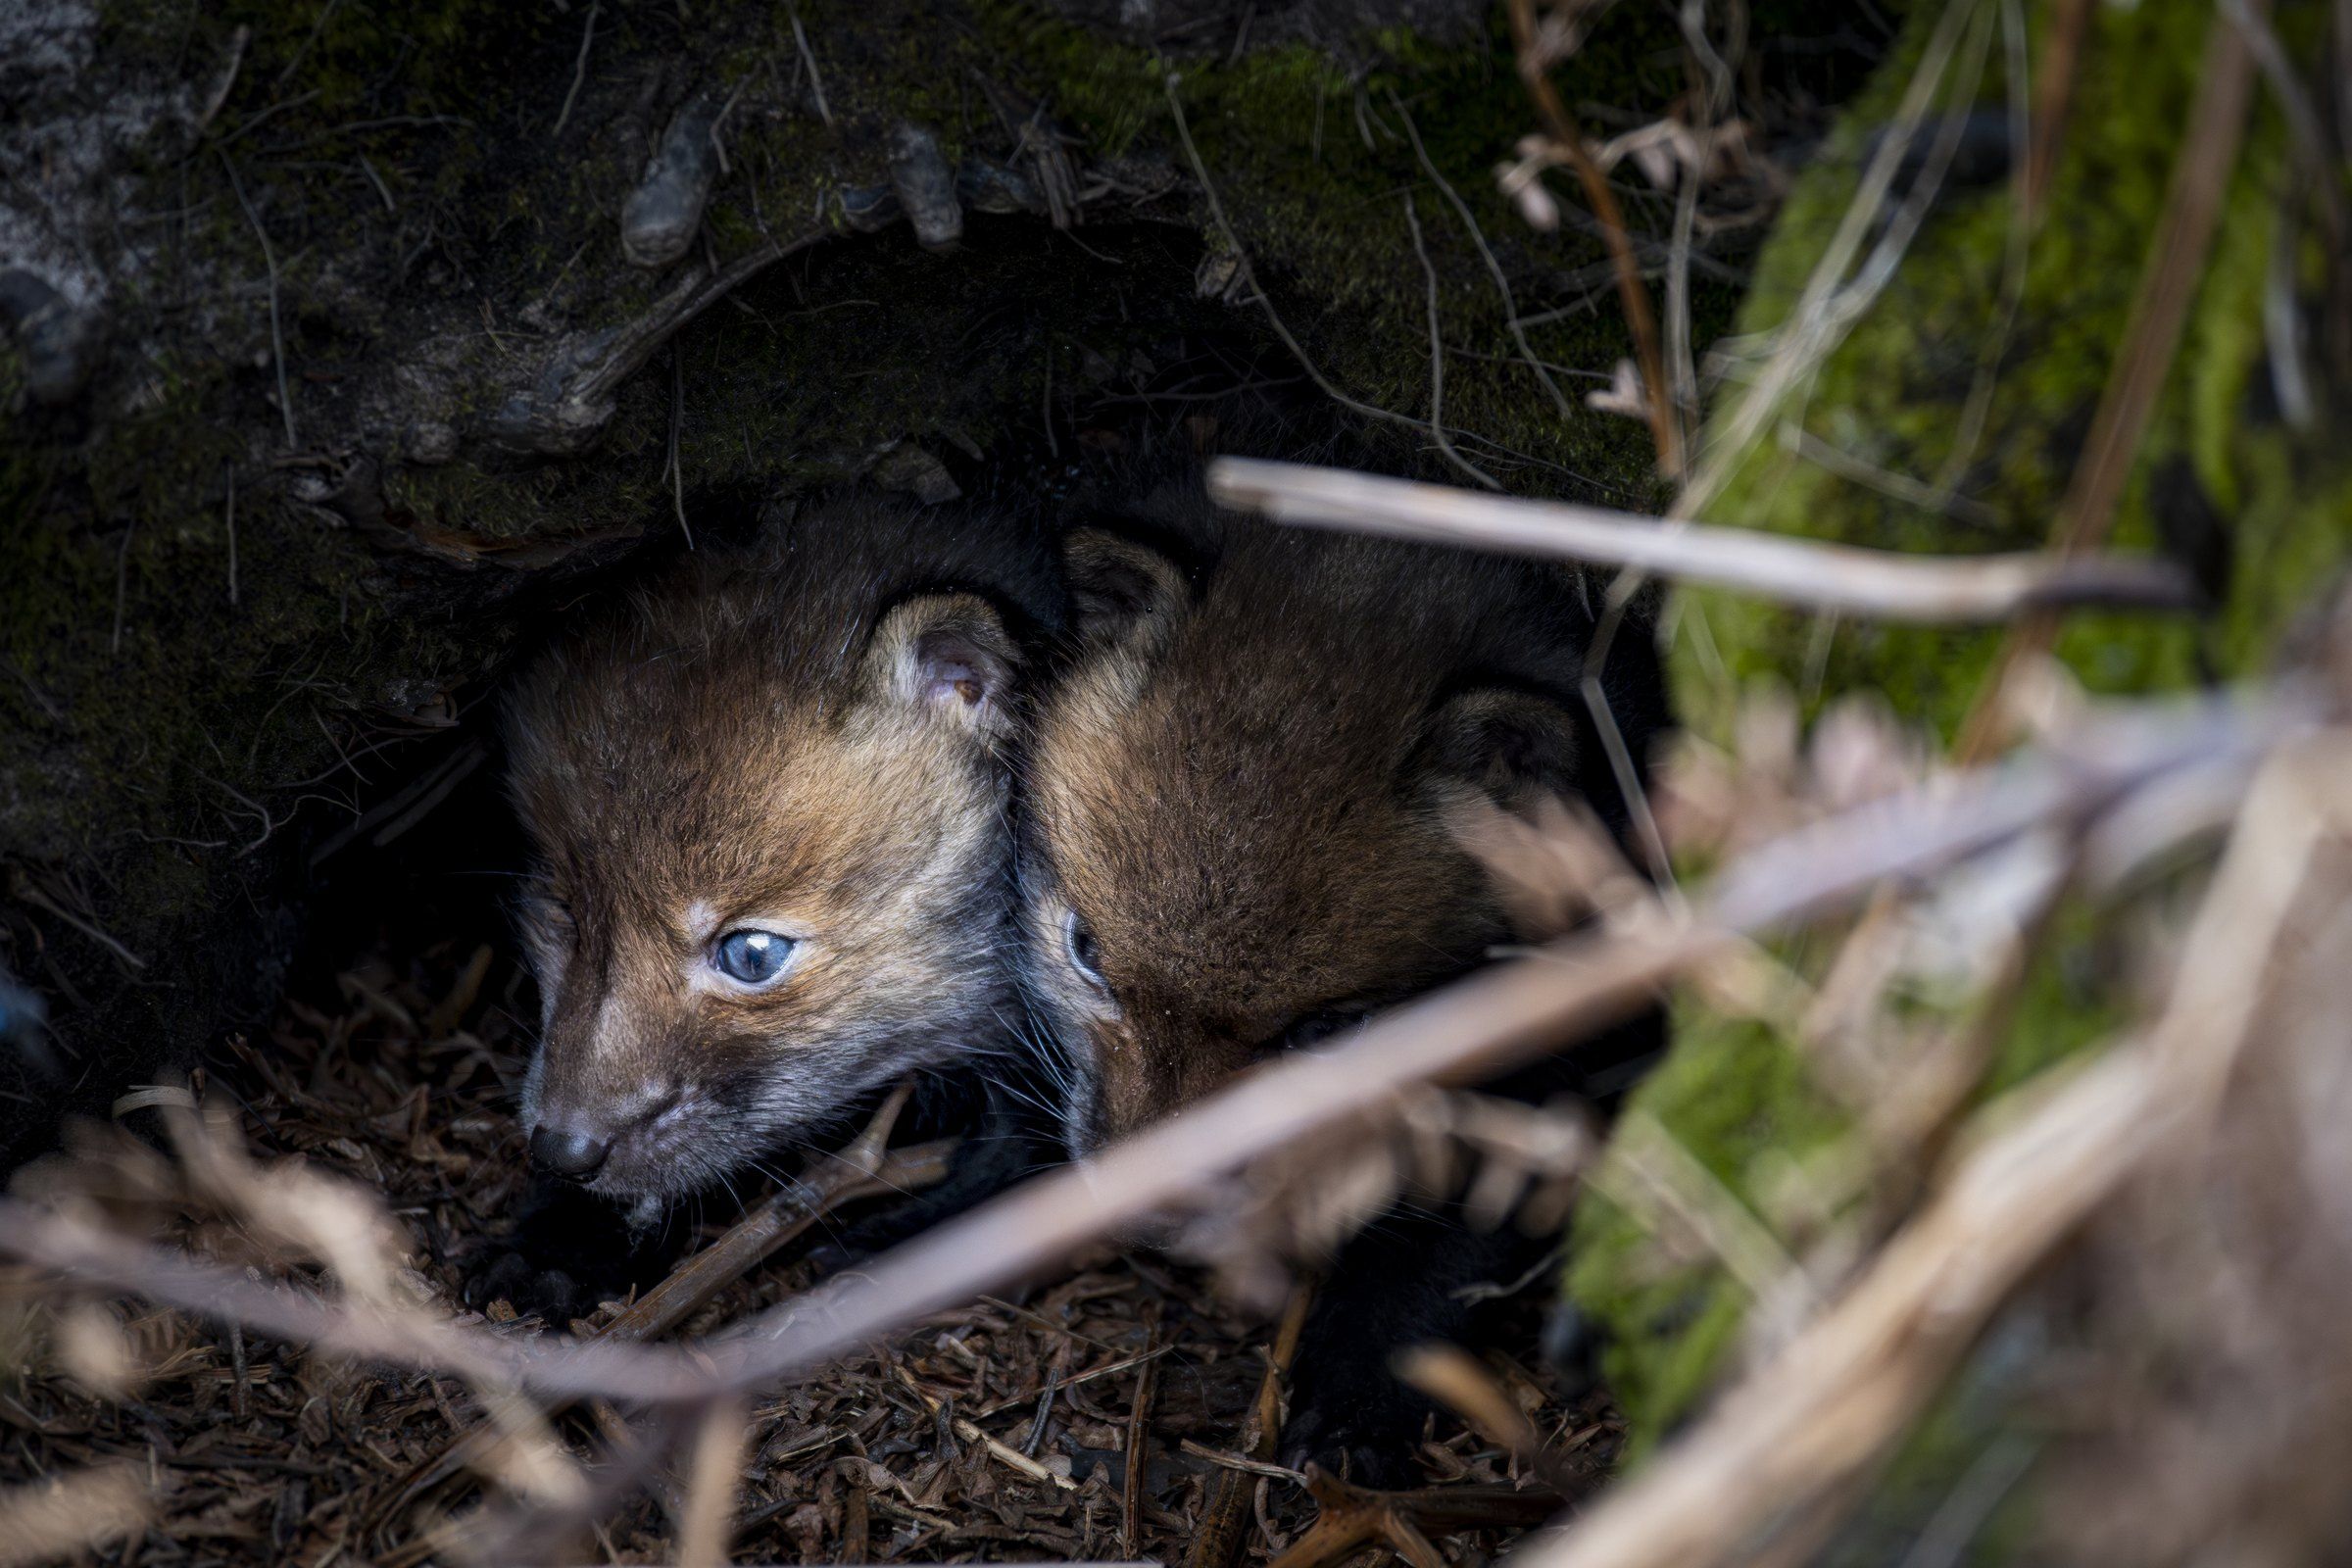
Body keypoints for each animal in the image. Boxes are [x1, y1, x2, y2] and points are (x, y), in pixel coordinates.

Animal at [1019, 460, 1671, 1479]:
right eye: (1088, 952)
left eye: (1324, 1031)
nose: (1150, 1214)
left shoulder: (1551, 1067)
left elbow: (1433, 1260)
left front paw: (1359, 1396)